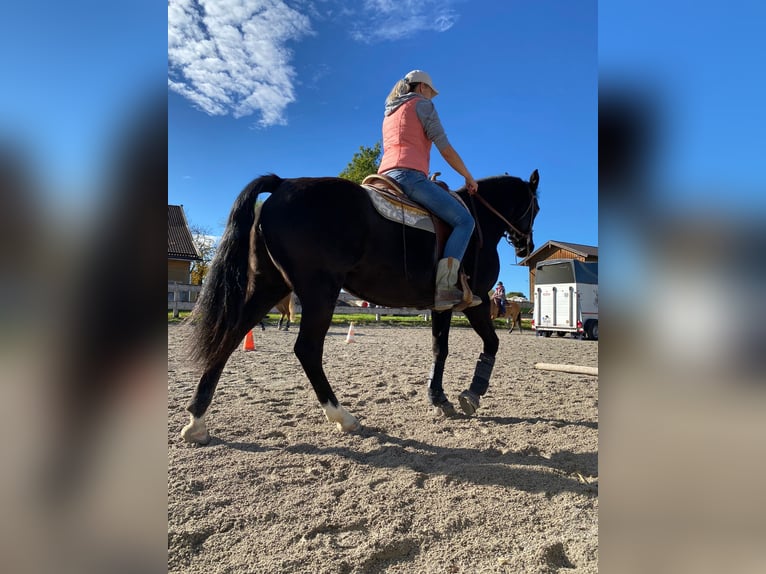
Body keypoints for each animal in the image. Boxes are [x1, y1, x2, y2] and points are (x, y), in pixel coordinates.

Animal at [181, 170, 540, 444]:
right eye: (535, 206)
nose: (527, 246)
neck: (479, 222)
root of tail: (284, 183)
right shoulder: (476, 301)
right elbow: (491, 343)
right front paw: (472, 393)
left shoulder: (442, 305)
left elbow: (440, 349)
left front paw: (439, 399)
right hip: (319, 293)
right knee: (307, 350)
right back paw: (342, 416)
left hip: (269, 286)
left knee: (230, 337)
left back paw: (197, 421)